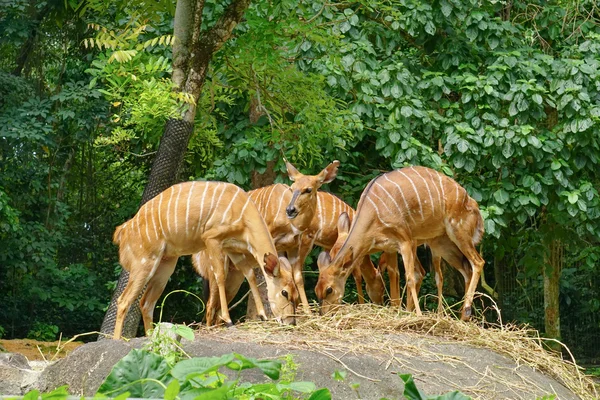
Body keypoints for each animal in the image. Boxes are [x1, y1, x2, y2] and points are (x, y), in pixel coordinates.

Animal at [110, 180, 298, 340]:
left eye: (295, 294)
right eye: (284, 292)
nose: (291, 323)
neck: (243, 213)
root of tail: (122, 231)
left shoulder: (232, 248)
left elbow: (249, 274)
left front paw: (263, 315)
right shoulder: (212, 238)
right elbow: (220, 276)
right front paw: (228, 321)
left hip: (166, 264)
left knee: (146, 303)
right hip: (144, 262)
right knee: (123, 300)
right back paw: (117, 339)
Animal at [195, 189, 386, 324]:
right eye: (381, 286)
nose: (381, 302)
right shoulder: (308, 239)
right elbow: (354, 274)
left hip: (235, 273)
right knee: (211, 302)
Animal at [314, 165, 482, 318]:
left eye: (329, 289)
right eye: (317, 290)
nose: (324, 314)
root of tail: (473, 204)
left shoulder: (405, 239)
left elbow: (410, 277)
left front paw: (417, 315)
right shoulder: (389, 247)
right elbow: (395, 275)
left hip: (458, 231)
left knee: (477, 262)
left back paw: (465, 311)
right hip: (442, 243)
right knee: (465, 269)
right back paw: (463, 317)